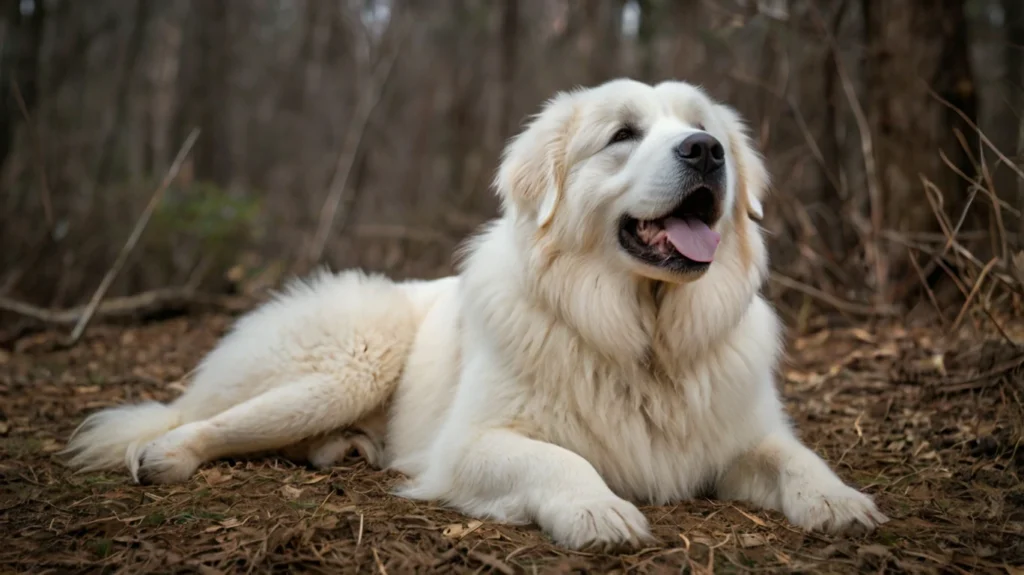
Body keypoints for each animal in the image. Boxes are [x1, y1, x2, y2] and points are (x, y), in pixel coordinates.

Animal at [61, 78, 888, 548]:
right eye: (622, 135)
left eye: (705, 128)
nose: (706, 151)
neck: (641, 334)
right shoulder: (473, 443)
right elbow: (562, 457)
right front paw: (599, 511)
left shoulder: (743, 432)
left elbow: (796, 457)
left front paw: (842, 501)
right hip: (347, 363)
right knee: (202, 420)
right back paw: (163, 456)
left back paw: (345, 449)